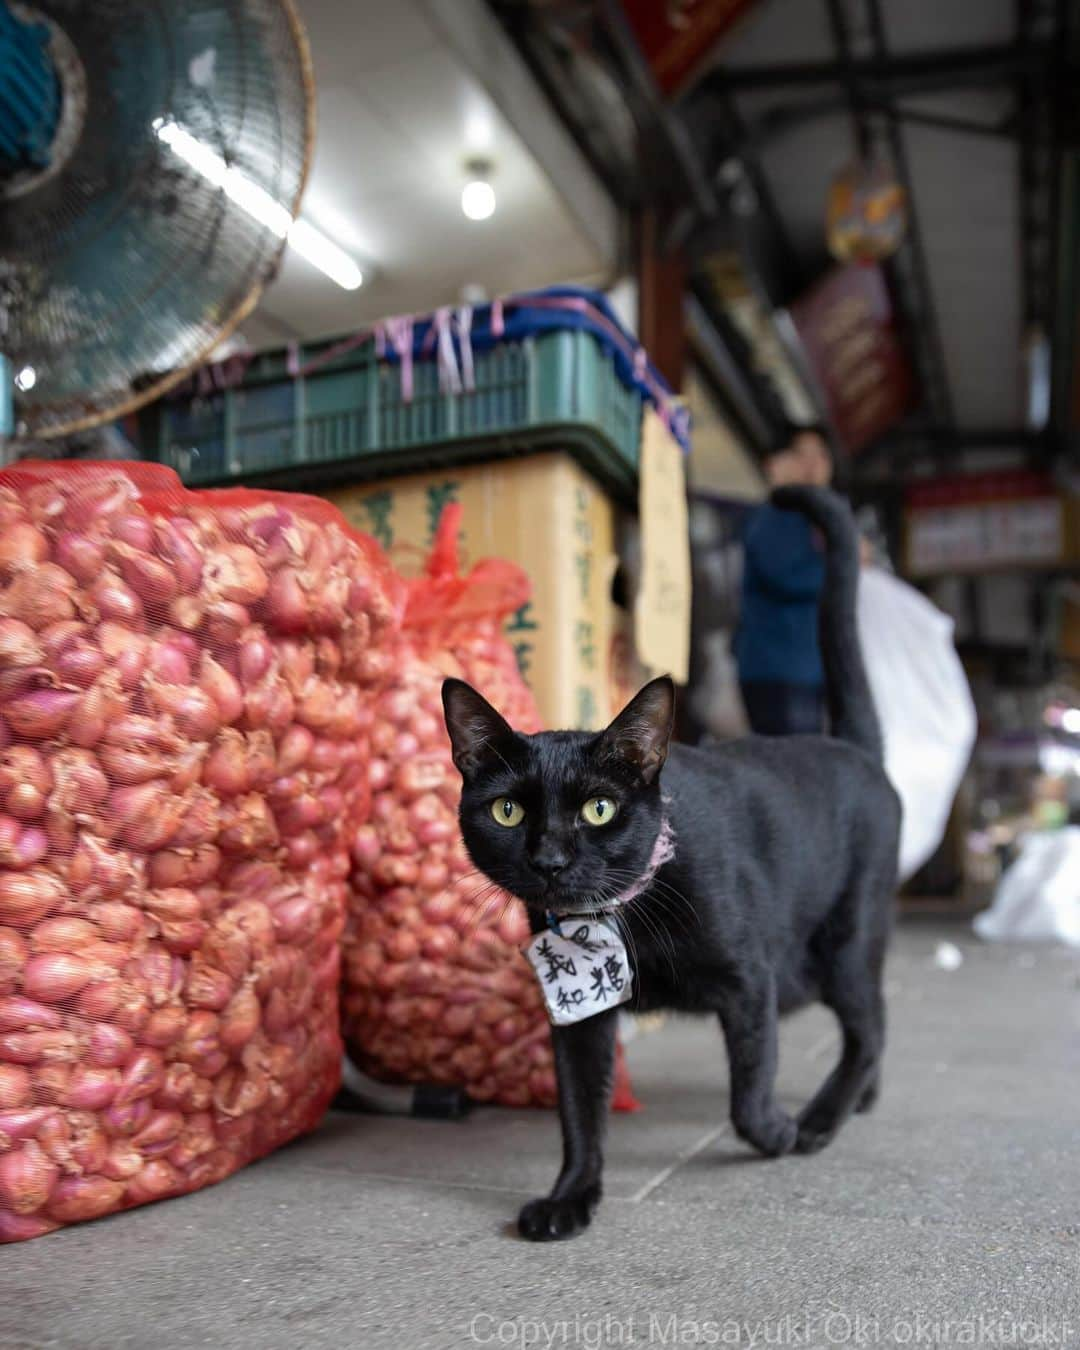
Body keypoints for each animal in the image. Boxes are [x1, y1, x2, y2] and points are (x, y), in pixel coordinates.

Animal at [440, 486, 901, 1242]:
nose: (550, 859)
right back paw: (861, 1099)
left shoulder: (750, 980)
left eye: (599, 809)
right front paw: (571, 1197)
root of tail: (853, 749)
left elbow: (750, 1088)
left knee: (870, 1024)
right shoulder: (580, 1016)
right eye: (507, 812)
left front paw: (775, 1132)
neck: (622, 915)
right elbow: (580, 1112)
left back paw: (819, 1120)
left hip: (840, 942)